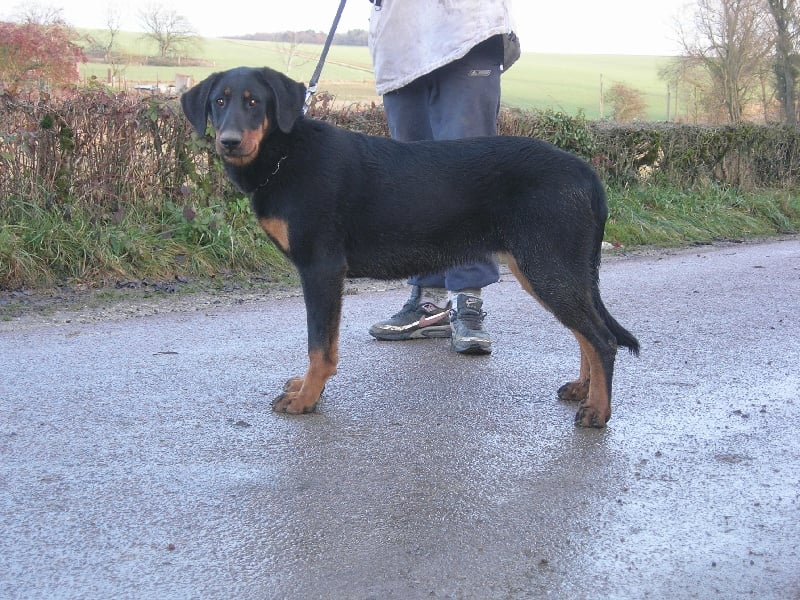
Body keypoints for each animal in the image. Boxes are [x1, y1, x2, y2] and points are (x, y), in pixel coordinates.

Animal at [180, 65, 636, 426]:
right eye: (219, 101)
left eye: (255, 102)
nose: (229, 141)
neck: (286, 154)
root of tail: (588, 174)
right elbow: (321, 345)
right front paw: (306, 388)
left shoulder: (321, 269)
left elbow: (319, 346)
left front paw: (307, 398)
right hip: (554, 270)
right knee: (586, 333)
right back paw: (582, 389)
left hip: (546, 267)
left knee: (600, 338)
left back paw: (597, 412)